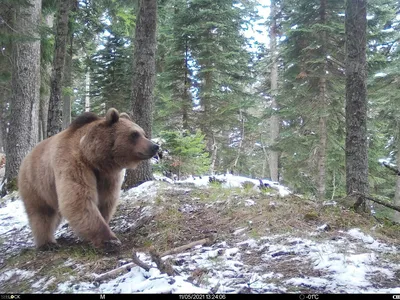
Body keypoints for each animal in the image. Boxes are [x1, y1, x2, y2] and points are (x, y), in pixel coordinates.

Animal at [18, 106, 159, 252]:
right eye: (134, 134)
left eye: (143, 133)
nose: (154, 146)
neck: (94, 158)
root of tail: (27, 156)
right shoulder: (74, 164)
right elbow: (79, 200)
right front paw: (110, 240)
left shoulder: (108, 176)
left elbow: (105, 201)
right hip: (35, 183)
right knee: (42, 213)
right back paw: (47, 243)